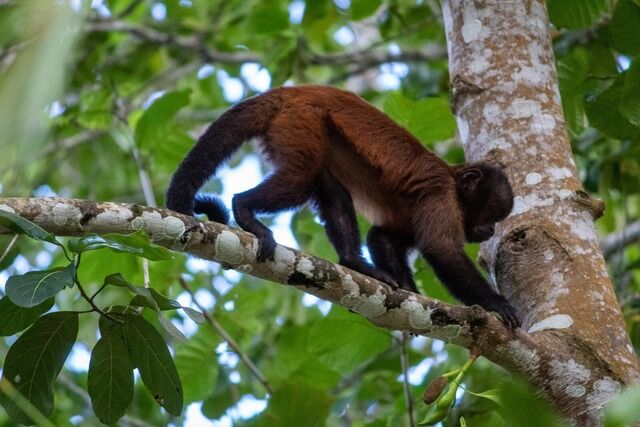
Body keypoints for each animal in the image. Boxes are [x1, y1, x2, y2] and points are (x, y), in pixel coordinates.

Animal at [166, 86, 521, 329]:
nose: (490, 230)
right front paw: (495, 304)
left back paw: (353, 262)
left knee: (333, 193)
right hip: (301, 118)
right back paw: (244, 211)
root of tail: (290, 90)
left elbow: (382, 236)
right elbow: (440, 247)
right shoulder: (440, 194)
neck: (455, 181)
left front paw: (407, 289)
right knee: (300, 179)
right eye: (491, 216)